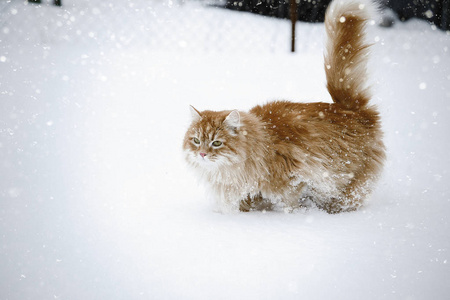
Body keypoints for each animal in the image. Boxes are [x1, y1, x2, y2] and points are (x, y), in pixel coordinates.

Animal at [184, 0, 386, 214]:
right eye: (196, 141)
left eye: (216, 143)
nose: (202, 153)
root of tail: (351, 107)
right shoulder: (246, 193)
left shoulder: (293, 179)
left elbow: (289, 204)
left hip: (345, 184)